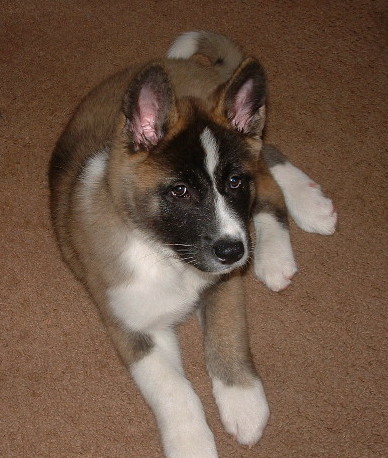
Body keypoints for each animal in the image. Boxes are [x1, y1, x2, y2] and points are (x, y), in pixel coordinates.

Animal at [49, 30, 336, 456]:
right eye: (180, 191)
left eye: (233, 182)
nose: (235, 252)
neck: (167, 257)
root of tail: (183, 65)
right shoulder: (133, 328)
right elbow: (173, 389)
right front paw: (192, 442)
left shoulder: (224, 283)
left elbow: (227, 334)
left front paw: (243, 402)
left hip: (253, 155)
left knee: (269, 169)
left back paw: (299, 220)